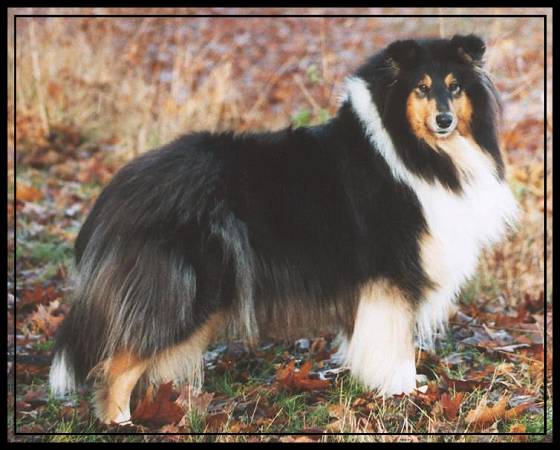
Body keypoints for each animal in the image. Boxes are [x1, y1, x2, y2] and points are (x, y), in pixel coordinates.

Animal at [49, 34, 519, 424]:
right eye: (421, 87)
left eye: (454, 87)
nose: (444, 120)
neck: (410, 150)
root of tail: (118, 191)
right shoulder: (392, 275)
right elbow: (398, 344)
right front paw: (403, 391)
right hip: (184, 289)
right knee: (116, 364)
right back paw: (120, 421)